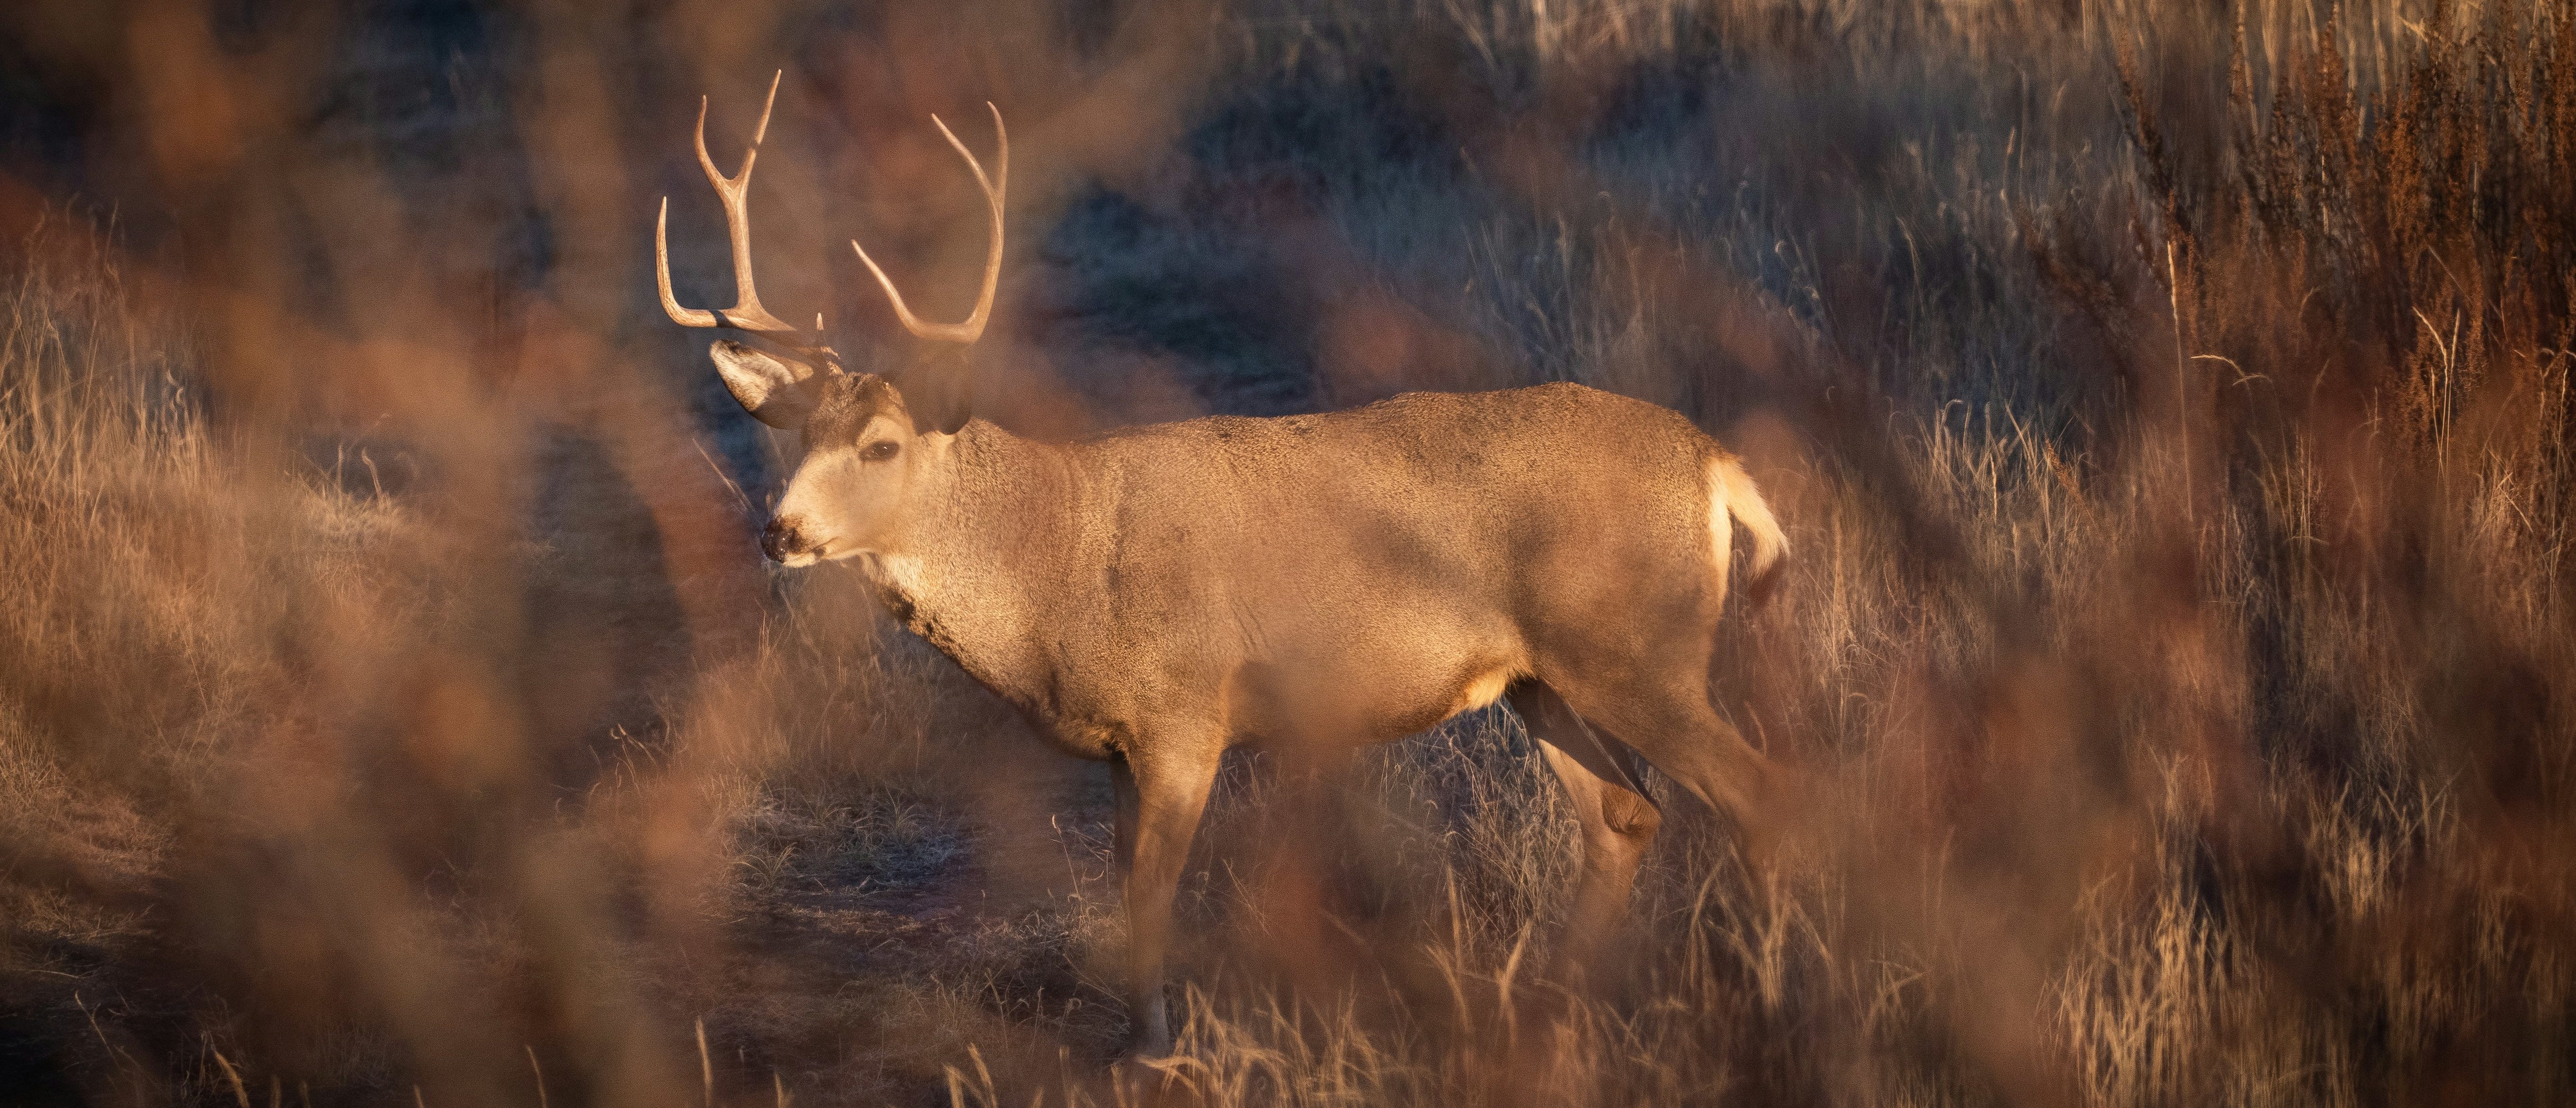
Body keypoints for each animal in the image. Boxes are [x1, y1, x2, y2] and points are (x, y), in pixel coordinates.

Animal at [654, 73, 1803, 1062]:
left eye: (883, 445)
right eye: (798, 437)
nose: (779, 530)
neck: (1057, 560)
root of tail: (1716, 464)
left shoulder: (1184, 712)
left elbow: (1152, 890)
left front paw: (1154, 1046)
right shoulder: (1121, 744)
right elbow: (1124, 882)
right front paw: (1134, 1033)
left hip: (1638, 649)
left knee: (1755, 788)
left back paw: (1770, 1001)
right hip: (1540, 675)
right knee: (1625, 815)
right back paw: (1560, 1005)